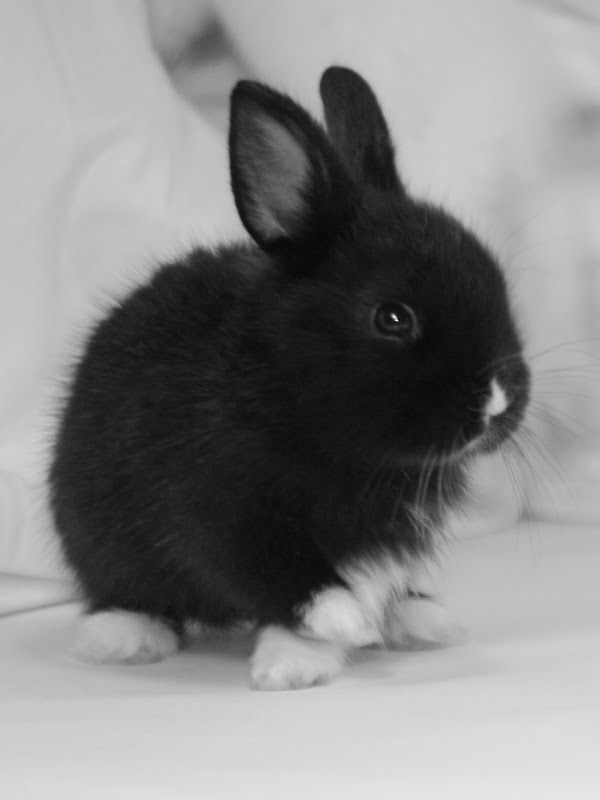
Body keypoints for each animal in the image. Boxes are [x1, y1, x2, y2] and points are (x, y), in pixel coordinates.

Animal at [50, 67, 528, 688]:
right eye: (392, 318)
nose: (496, 404)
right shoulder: (225, 519)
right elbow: (294, 586)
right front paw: (331, 639)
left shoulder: (383, 542)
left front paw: (331, 646)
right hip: (99, 539)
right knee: (126, 591)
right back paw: (126, 638)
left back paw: (424, 621)